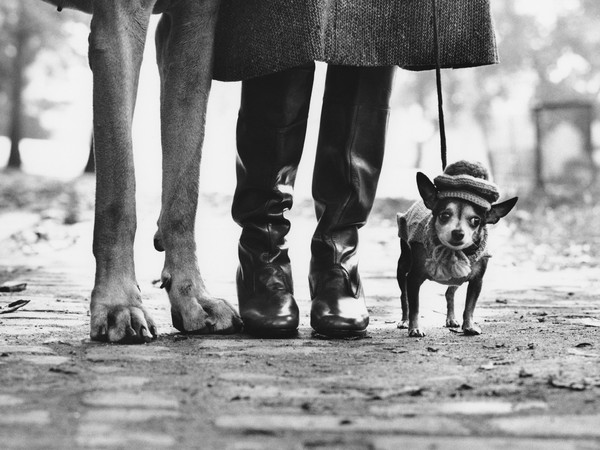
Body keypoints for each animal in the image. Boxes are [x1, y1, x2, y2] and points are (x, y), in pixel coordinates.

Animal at [396, 160, 516, 336]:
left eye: (476, 221)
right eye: (444, 215)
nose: (458, 233)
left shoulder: (476, 281)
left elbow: (469, 306)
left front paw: (469, 326)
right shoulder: (413, 278)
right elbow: (414, 307)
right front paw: (415, 328)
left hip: (455, 280)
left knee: (449, 293)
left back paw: (451, 319)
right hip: (403, 266)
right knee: (403, 296)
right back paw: (404, 320)